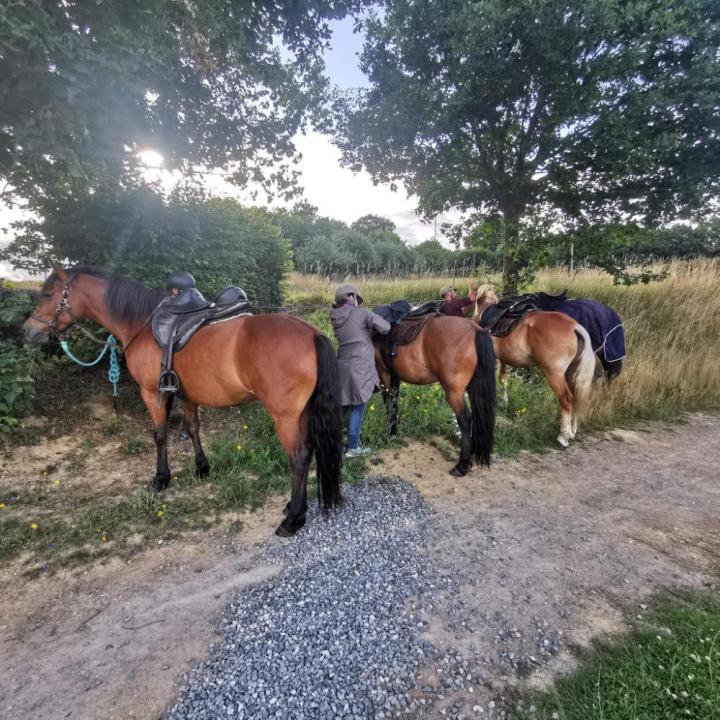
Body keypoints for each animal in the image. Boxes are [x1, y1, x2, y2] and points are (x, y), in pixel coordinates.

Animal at [23, 264, 343, 537]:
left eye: (48, 294)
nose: (28, 331)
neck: (141, 324)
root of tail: (311, 332)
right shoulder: (188, 395)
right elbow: (192, 428)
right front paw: (202, 468)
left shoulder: (151, 393)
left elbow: (160, 433)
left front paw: (161, 478)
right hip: (301, 412)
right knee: (308, 451)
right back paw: (293, 508)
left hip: (285, 416)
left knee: (298, 456)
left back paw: (293, 518)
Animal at [374, 314, 496, 477]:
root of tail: (476, 330)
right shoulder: (395, 377)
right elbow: (394, 404)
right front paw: (393, 431)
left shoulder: (383, 373)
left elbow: (388, 403)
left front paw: (390, 434)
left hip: (453, 392)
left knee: (465, 419)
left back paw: (462, 465)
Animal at [473, 285, 596, 448]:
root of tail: (575, 327)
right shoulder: (503, 359)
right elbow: (503, 379)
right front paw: (504, 402)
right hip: (570, 374)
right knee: (575, 396)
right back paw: (573, 429)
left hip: (554, 374)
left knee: (566, 398)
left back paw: (564, 435)